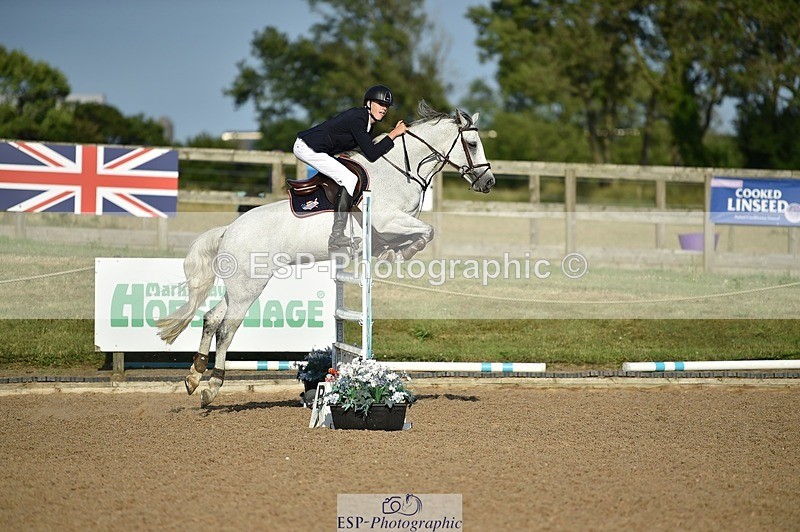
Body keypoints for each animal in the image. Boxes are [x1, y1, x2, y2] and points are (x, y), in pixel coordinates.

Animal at [156, 101, 495, 407]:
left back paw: (194, 375)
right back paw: (212, 386)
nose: (489, 182)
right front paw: (398, 254)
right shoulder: (388, 220)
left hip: (239, 286)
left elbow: (421, 233)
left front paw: (393, 252)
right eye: (472, 143)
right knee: (226, 329)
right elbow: (426, 232)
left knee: (212, 319)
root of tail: (228, 230)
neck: (401, 172)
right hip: (248, 288)